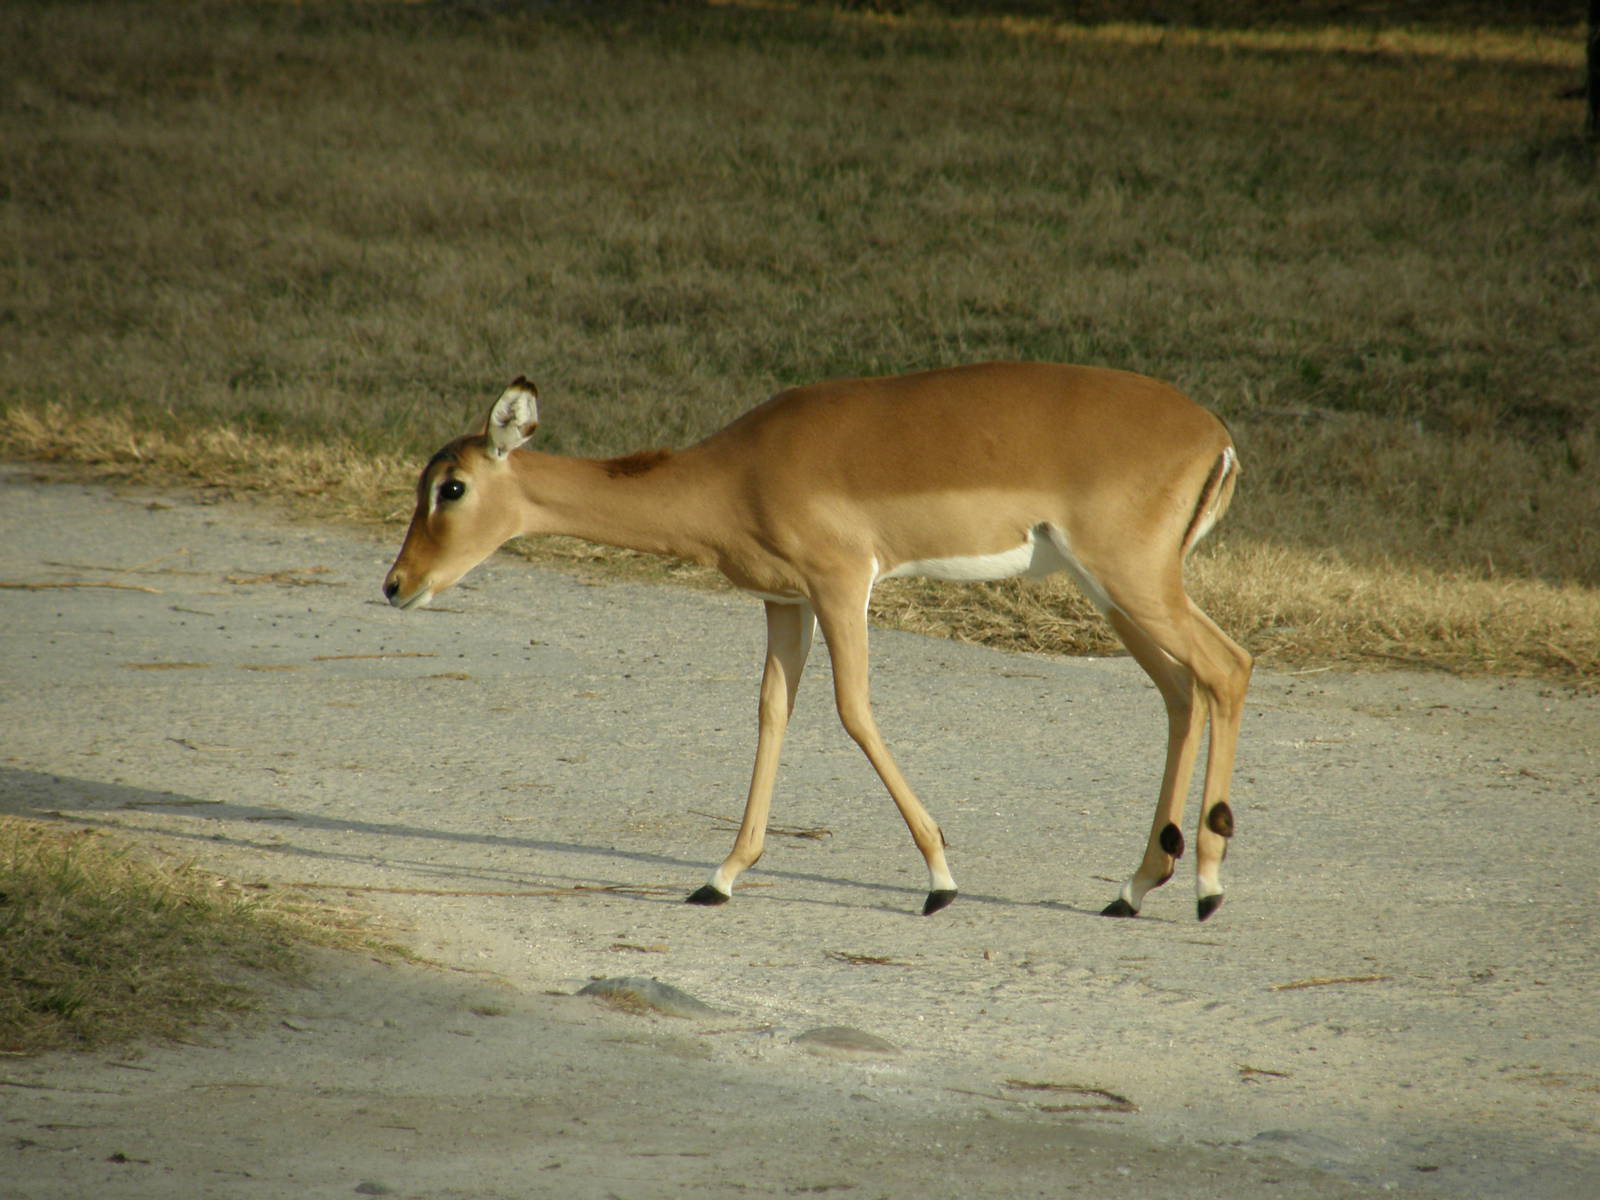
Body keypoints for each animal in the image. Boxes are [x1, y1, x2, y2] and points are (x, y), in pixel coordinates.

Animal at [384, 362, 1252, 920]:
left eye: (451, 487)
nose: (396, 584)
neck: (735, 472)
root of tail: (1216, 435)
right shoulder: (785, 601)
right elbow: (772, 712)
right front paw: (721, 876)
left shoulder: (840, 585)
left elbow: (853, 710)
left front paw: (940, 878)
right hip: (1117, 595)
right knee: (1182, 691)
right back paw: (1135, 887)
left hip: (1134, 582)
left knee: (1228, 667)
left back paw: (1208, 886)